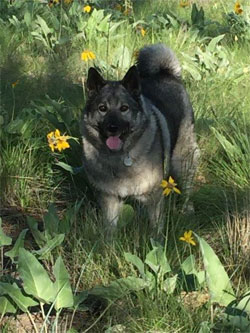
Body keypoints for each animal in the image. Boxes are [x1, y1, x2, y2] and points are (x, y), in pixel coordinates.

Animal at [81, 43, 199, 236]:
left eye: (124, 108)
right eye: (102, 108)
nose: (113, 128)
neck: (119, 158)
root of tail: (166, 73)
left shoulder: (154, 197)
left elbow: (156, 228)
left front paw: (157, 243)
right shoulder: (110, 198)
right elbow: (110, 229)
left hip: (183, 159)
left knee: (187, 187)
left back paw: (187, 209)